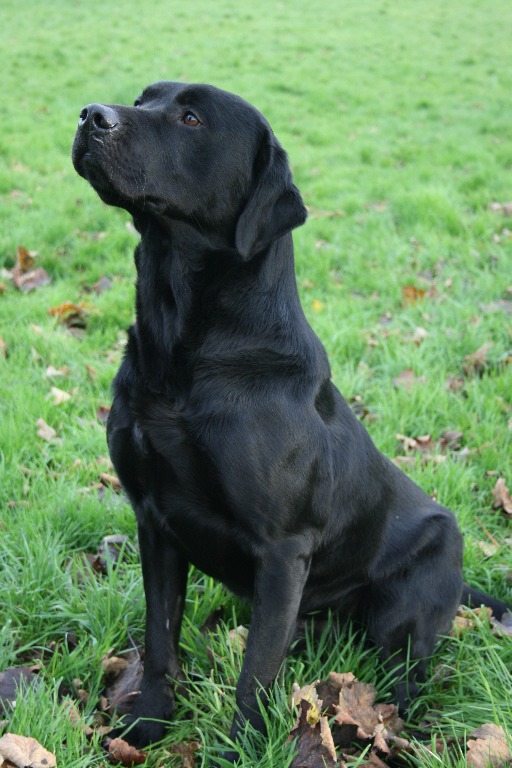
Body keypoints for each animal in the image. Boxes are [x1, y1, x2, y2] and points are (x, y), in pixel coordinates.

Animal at [71, 81, 508, 760]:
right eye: (143, 99)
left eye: (191, 118)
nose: (92, 116)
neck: (186, 350)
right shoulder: (154, 520)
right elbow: (161, 642)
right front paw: (146, 728)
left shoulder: (282, 547)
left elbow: (255, 675)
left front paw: (236, 754)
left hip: (407, 605)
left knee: (412, 672)